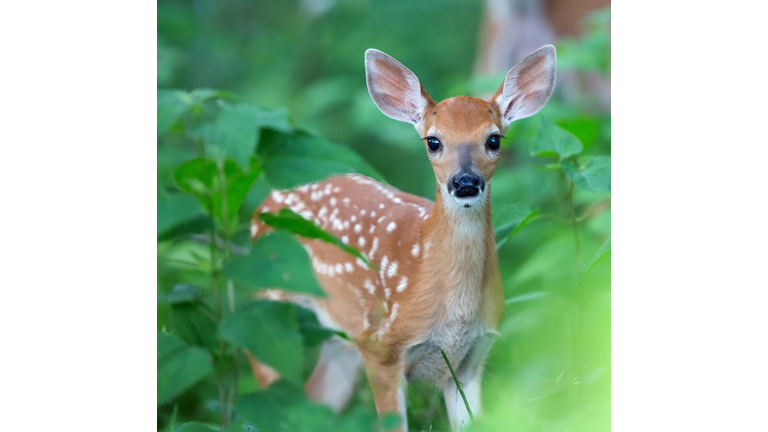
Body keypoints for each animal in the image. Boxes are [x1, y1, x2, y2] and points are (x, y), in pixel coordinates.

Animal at [249, 45, 556, 430]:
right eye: (433, 141)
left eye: (494, 139)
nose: (465, 182)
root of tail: (264, 204)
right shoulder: (383, 348)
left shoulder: (471, 359)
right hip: (266, 306)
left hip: (343, 339)